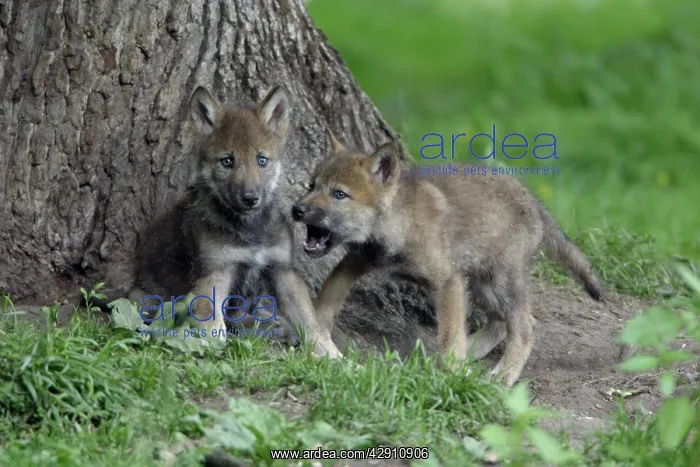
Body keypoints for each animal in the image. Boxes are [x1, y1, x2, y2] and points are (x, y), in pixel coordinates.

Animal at [94, 85, 341, 359]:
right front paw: (210, 346)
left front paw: (330, 353)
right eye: (227, 161)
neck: (250, 230)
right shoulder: (216, 272)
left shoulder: (284, 270)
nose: (250, 198)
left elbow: (310, 319)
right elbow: (212, 320)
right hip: (148, 301)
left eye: (262, 160)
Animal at [291, 134, 603, 386]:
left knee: (525, 326)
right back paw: (472, 351)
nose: (296, 210)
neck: (399, 221)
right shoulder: (357, 260)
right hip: (478, 284)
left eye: (339, 194)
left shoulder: (447, 281)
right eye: (312, 185)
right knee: (503, 321)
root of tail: (536, 204)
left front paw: (451, 374)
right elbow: (328, 295)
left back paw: (503, 374)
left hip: (501, 281)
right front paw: (313, 324)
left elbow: (449, 336)